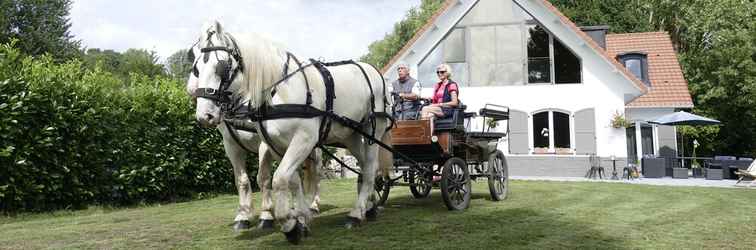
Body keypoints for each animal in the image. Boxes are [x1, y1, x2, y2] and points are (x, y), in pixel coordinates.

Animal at [188, 43, 322, 232]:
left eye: (223, 68)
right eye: (196, 68)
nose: (204, 115)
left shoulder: (264, 144)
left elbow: (263, 178)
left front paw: (266, 215)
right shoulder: (231, 145)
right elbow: (242, 180)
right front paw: (242, 216)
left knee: (316, 175)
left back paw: (314, 205)